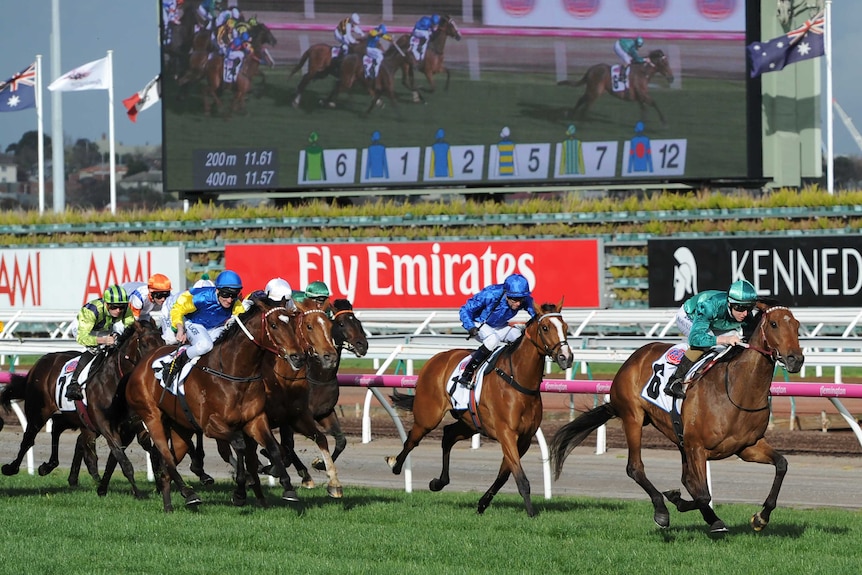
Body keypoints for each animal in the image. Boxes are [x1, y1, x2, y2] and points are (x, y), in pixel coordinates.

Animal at [386, 304, 572, 520]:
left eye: (565, 327)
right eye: (545, 328)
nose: (566, 357)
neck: (517, 379)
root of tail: (436, 358)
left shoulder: (524, 438)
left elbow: (504, 475)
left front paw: (482, 504)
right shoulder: (507, 433)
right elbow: (520, 478)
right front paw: (532, 513)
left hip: (471, 422)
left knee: (448, 435)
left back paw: (438, 482)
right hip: (428, 416)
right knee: (412, 440)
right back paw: (395, 464)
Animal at [552, 304, 808, 532]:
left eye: (797, 325)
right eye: (773, 324)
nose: (795, 359)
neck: (737, 390)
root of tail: (634, 356)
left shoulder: (747, 446)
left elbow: (781, 465)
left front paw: (760, 518)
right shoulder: (697, 447)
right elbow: (703, 494)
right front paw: (678, 501)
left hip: (678, 434)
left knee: (686, 479)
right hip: (633, 417)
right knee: (635, 468)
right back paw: (662, 511)